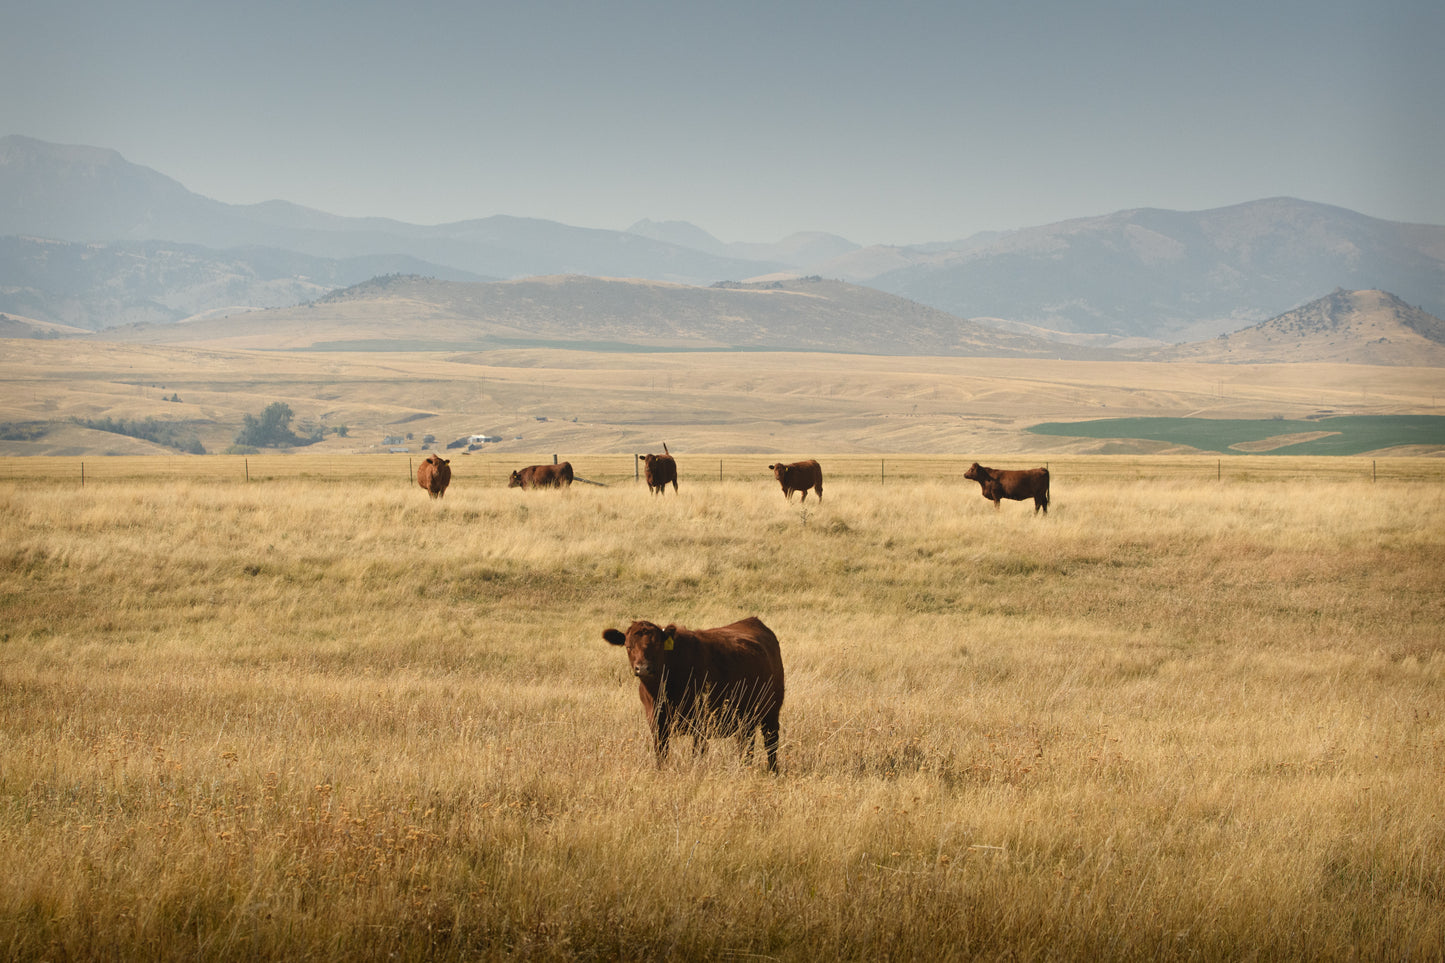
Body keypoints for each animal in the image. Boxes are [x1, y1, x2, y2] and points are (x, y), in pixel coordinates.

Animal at [601, 615, 786, 775]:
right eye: (628, 646)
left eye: (658, 645)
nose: (643, 668)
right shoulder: (657, 723)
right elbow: (661, 754)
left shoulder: (701, 723)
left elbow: (697, 755)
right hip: (745, 717)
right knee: (746, 744)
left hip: (771, 710)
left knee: (770, 742)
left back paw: (773, 771)